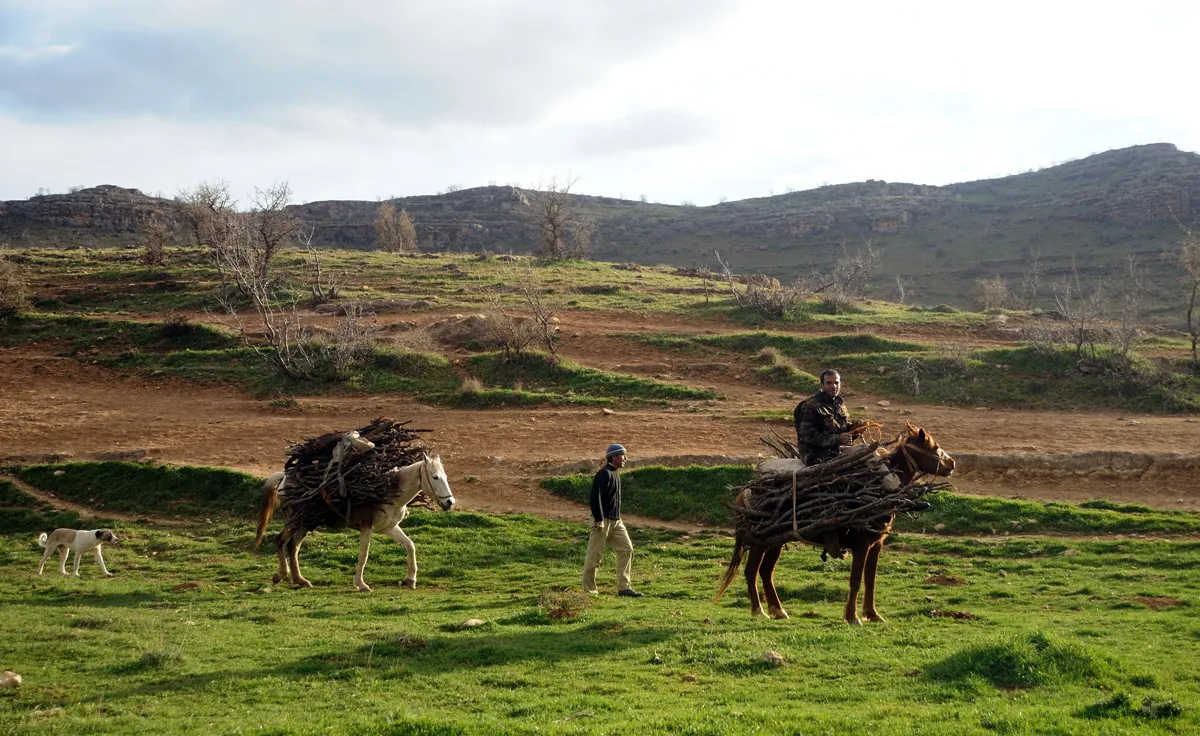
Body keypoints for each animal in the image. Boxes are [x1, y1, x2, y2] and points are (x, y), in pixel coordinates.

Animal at [255, 453, 456, 590]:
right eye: (435, 477)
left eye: (446, 477)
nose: (450, 502)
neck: (389, 492)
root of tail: (284, 477)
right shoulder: (367, 527)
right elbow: (363, 555)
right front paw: (361, 584)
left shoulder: (389, 528)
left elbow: (410, 546)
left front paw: (411, 579)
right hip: (297, 521)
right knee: (281, 541)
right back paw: (281, 575)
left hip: (305, 523)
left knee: (293, 546)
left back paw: (300, 580)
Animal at [715, 422, 950, 624]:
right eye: (933, 446)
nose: (952, 464)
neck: (881, 486)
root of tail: (745, 492)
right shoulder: (862, 545)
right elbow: (856, 580)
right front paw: (853, 617)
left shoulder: (876, 545)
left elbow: (871, 580)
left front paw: (873, 615)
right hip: (759, 542)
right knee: (751, 571)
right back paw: (759, 610)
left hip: (775, 541)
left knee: (765, 572)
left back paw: (778, 610)